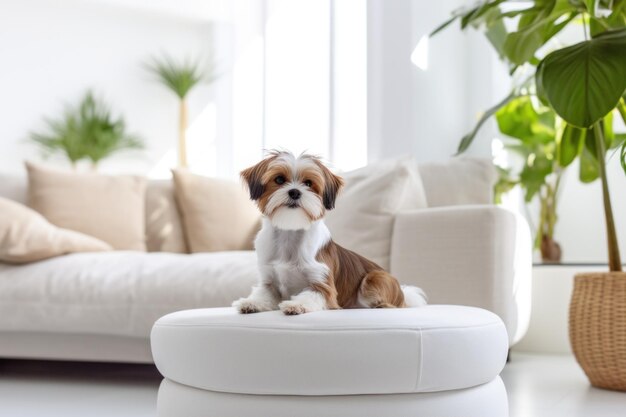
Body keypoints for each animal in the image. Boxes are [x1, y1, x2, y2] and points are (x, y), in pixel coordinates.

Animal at [232, 151, 426, 314]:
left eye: (308, 183)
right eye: (279, 179)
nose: (294, 192)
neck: (290, 232)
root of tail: (403, 294)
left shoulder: (323, 283)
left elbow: (311, 294)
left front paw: (296, 304)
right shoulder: (269, 280)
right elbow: (263, 294)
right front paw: (251, 302)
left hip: (374, 278)